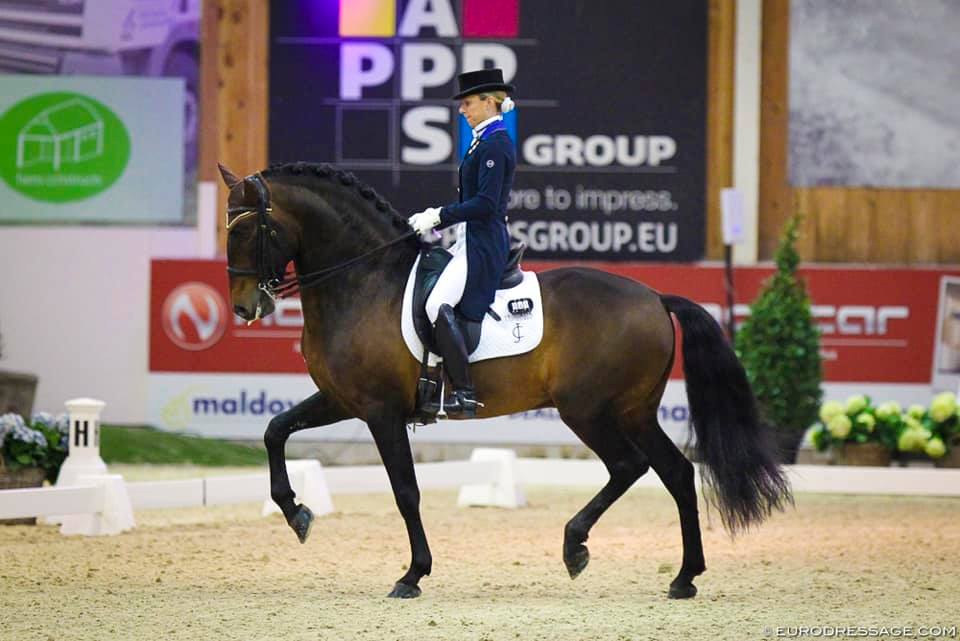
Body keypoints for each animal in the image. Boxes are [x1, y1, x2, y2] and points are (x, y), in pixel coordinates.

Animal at [221, 161, 792, 600]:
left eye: (247, 232)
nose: (246, 308)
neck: (363, 281)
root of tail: (654, 297)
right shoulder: (343, 399)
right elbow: (275, 430)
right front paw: (297, 513)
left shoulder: (381, 411)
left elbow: (406, 491)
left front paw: (412, 575)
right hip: (635, 410)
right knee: (675, 472)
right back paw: (683, 578)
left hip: (587, 409)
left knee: (629, 466)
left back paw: (576, 546)